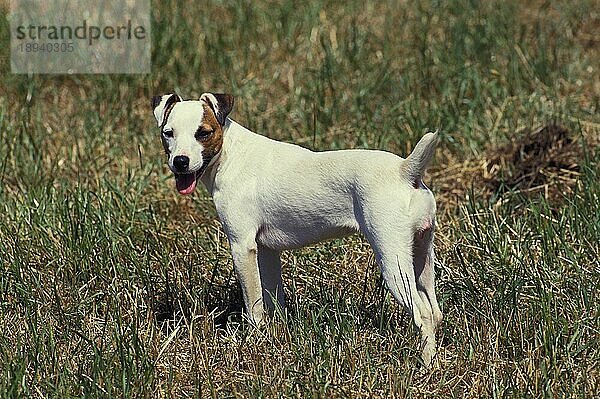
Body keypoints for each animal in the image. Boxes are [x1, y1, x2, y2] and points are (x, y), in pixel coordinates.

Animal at [150, 93, 440, 366]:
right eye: (168, 133)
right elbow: (273, 297)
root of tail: (404, 171)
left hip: (393, 263)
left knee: (423, 314)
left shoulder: (242, 247)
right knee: (435, 310)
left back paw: (426, 365)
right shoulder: (266, 251)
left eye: (203, 133)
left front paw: (254, 341)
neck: (230, 155)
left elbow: (253, 304)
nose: (180, 161)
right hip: (422, 257)